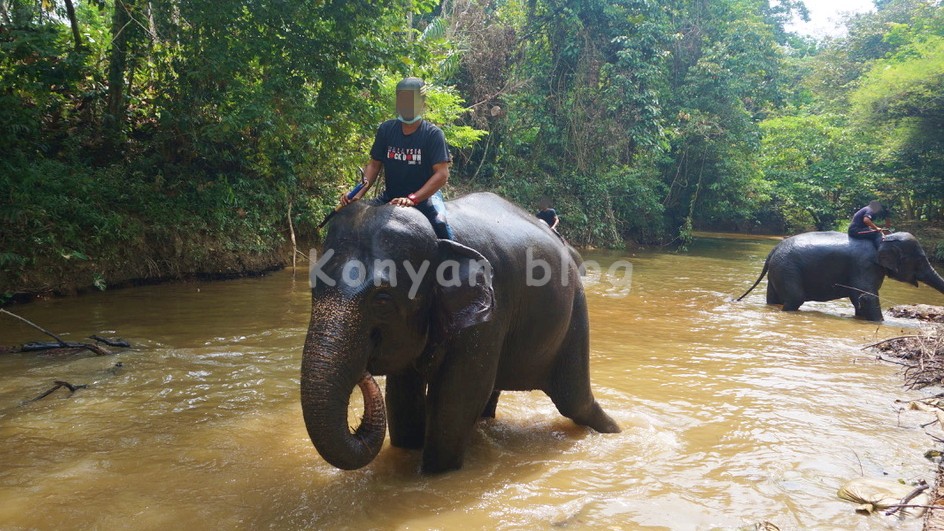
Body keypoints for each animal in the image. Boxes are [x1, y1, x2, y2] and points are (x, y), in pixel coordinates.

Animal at [302, 191, 620, 474]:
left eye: (382, 299)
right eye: (313, 285)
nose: (365, 373)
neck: (438, 238)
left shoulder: (489, 311)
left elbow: (457, 396)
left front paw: (433, 474)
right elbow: (402, 394)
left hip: (575, 313)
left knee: (574, 400)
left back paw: (616, 430)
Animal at [736, 232, 944, 322]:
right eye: (920, 260)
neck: (881, 239)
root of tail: (773, 250)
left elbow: (859, 299)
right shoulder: (865, 266)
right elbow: (867, 297)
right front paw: (881, 324)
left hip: (778, 271)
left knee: (774, 299)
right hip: (787, 269)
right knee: (795, 299)